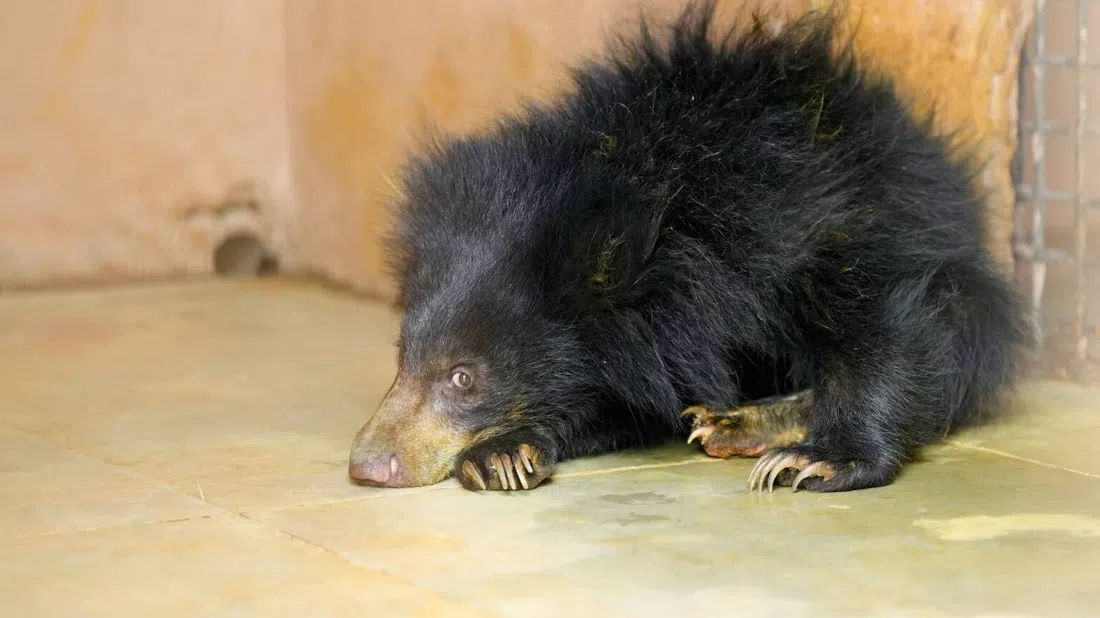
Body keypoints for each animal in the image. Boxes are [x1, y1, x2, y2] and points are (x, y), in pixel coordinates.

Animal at [348, 0, 1034, 493]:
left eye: (463, 377)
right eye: (403, 356)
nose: (367, 465)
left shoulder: (809, 217)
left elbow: (881, 311)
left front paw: (823, 460)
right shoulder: (650, 343)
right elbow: (633, 399)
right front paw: (502, 453)